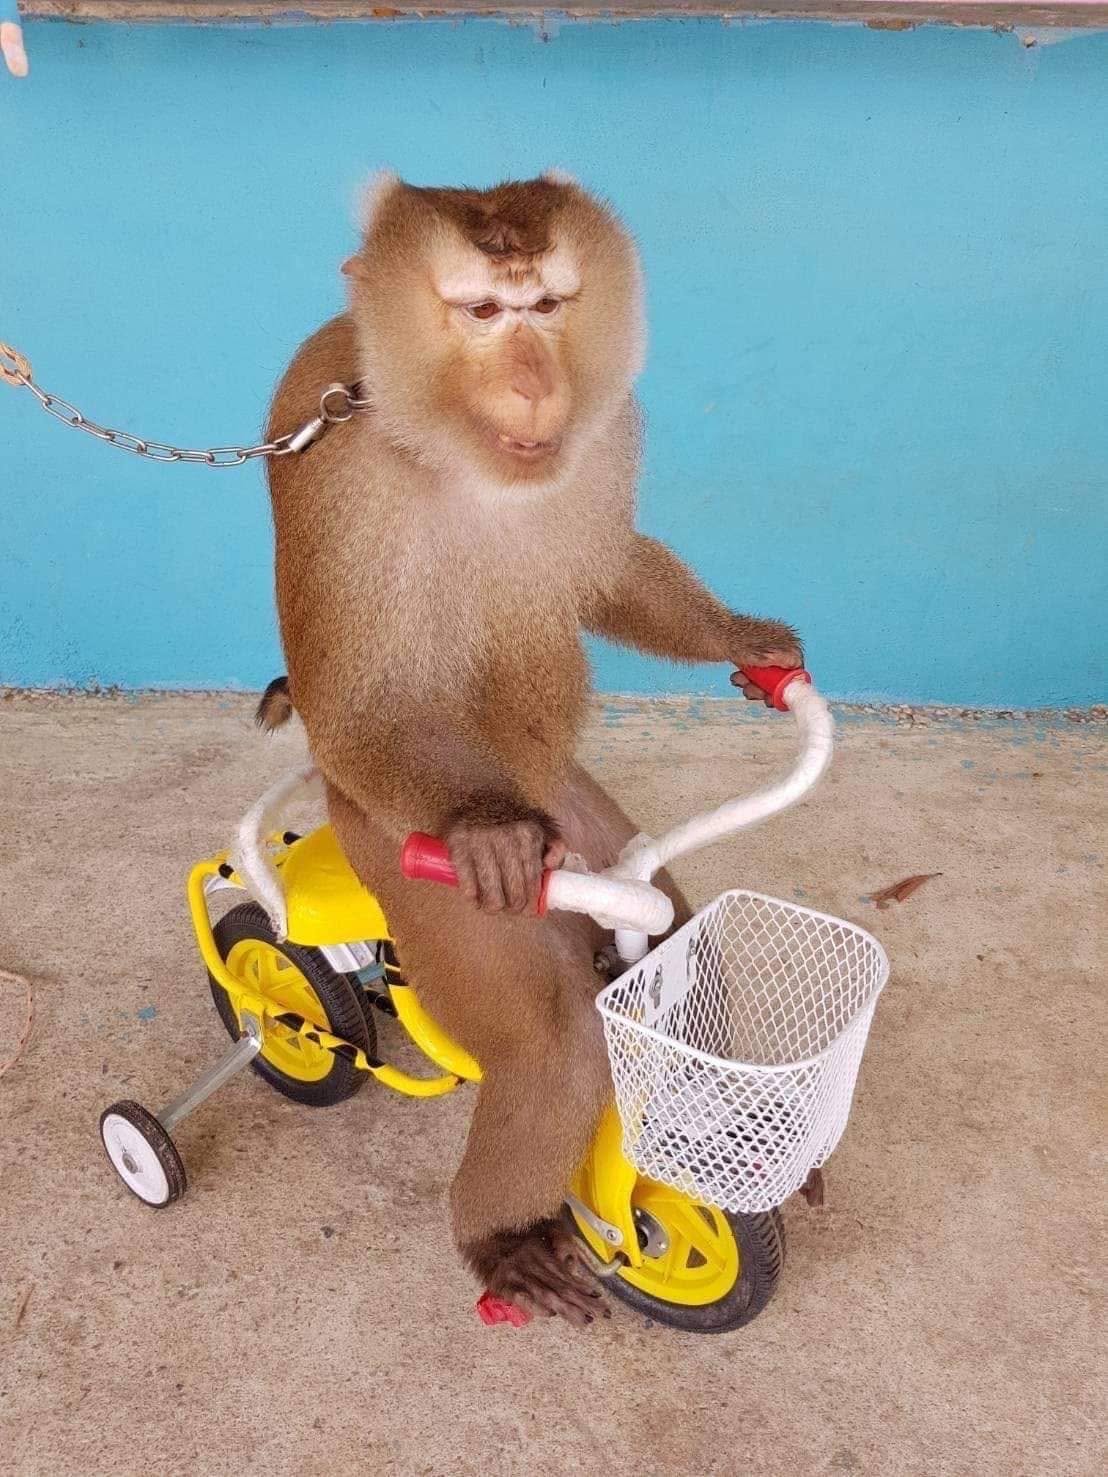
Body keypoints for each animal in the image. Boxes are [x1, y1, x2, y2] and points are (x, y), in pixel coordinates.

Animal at [263, 173, 802, 1326]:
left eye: (546, 306)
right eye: (481, 312)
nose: (530, 383)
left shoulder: (605, 435)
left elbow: (606, 565)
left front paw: (748, 644)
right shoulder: (336, 463)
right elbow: (354, 692)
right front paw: (484, 830)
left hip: (579, 814)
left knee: (669, 925)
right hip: (391, 846)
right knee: (552, 1035)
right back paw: (500, 1234)